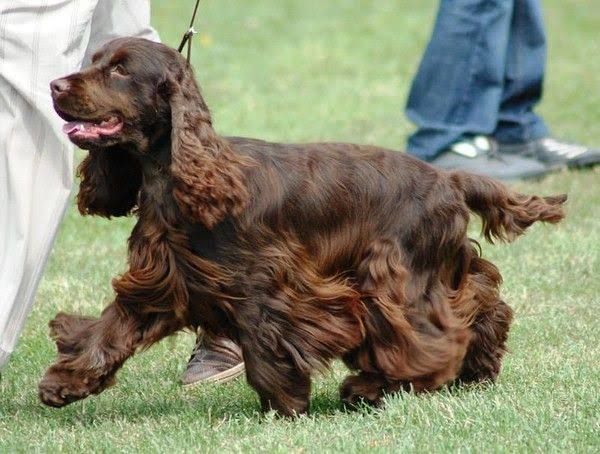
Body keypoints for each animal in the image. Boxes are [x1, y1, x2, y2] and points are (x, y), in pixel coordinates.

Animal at [38, 38, 568, 414]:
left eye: (120, 69)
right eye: (93, 59)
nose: (55, 86)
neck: (178, 174)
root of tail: (449, 176)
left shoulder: (263, 284)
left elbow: (264, 345)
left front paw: (285, 404)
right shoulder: (165, 277)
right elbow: (113, 328)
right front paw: (62, 384)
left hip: (397, 274)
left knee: (431, 336)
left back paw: (372, 387)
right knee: (481, 301)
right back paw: (477, 368)